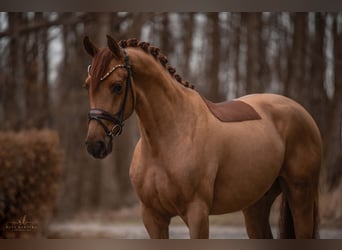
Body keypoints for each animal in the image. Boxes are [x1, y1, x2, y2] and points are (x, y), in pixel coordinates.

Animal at [82, 34, 320, 238]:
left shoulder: (197, 213)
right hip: (255, 205)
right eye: (87, 85)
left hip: (300, 195)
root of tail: (302, 112)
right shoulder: (153, 217)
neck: (169, 138)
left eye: (117, 86)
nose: (95, 144)